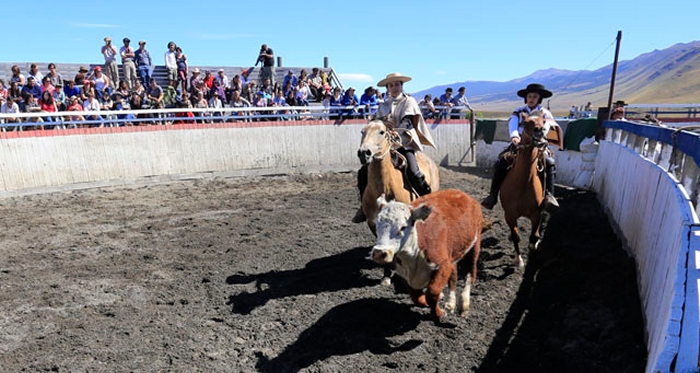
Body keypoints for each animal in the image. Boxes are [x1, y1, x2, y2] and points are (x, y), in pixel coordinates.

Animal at [372, 190, 482, 318]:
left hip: (474, 245)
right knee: (454, 276)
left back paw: (464, 305)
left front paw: (439, 313)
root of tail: (462, 194)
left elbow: (433, 292)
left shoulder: (443, 264)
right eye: (376, 224)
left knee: (470, 274)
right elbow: (416, 297)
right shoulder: (404, 273)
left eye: (403, 227)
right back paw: (450, 303)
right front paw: (426, 303)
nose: (379, 253)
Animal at [500, 112, 548, 266]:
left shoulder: (536, 214)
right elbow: (516, 237)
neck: (523, 183)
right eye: (526, 123)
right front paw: (519, 259)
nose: (540, 131)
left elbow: (534, 236)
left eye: (544, 121)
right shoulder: (509, 215)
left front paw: (534, 244)